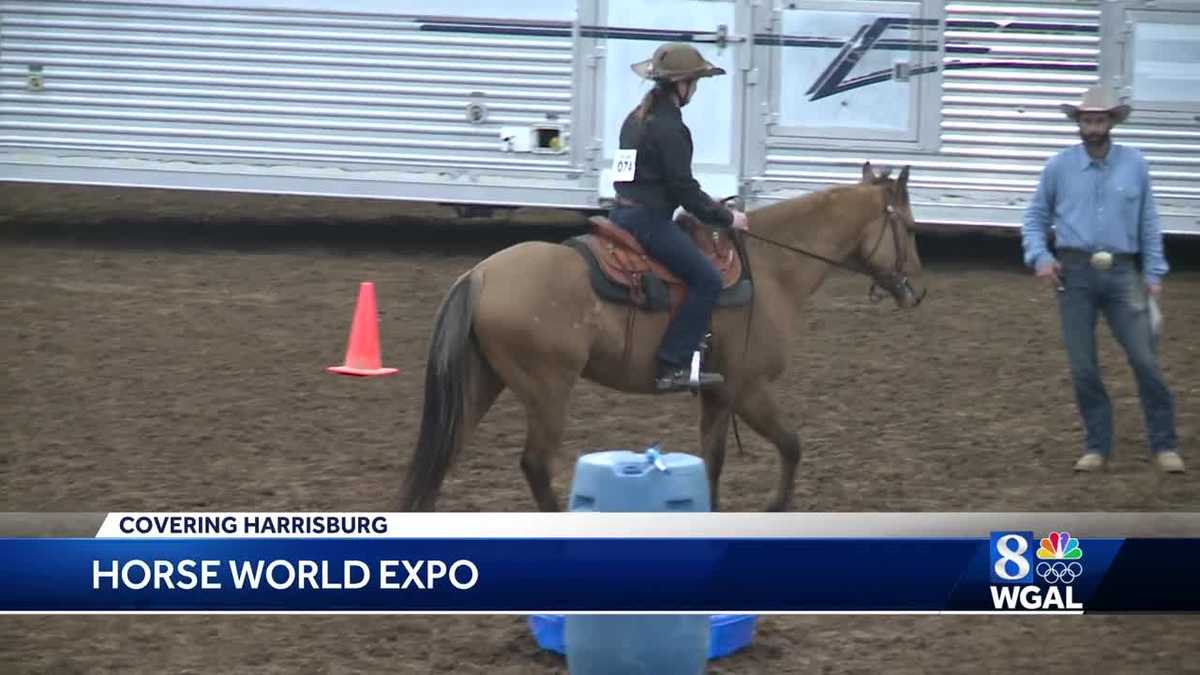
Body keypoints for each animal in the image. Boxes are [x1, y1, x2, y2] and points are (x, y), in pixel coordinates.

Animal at [400, 161, 926, 512]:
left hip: (482, 381)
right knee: (535, 464)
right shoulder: (748, 388)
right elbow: (791, 444)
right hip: (547, 389)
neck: (772, 269)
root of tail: (479, 274)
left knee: (447, 452)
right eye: (910, 225)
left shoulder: (717, 393)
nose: (918, 291)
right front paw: (777, 508)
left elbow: (712, 459)